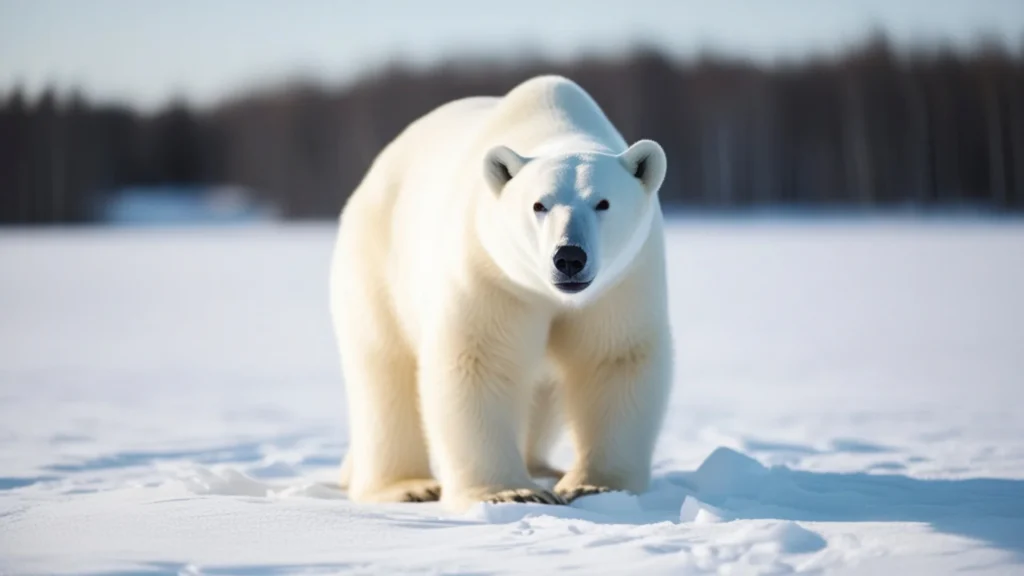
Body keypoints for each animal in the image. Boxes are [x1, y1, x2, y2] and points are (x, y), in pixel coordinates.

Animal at [330, 75, 673, 512]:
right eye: (539, 205)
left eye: (603, 202)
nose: (569, 257)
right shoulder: (491, 276)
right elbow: (480, 360)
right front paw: (511, 492)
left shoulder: (621, 284)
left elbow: (612, 358)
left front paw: (593, 485)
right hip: (377, 267)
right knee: (383, 371)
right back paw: (407, 485)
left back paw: (545, 467)